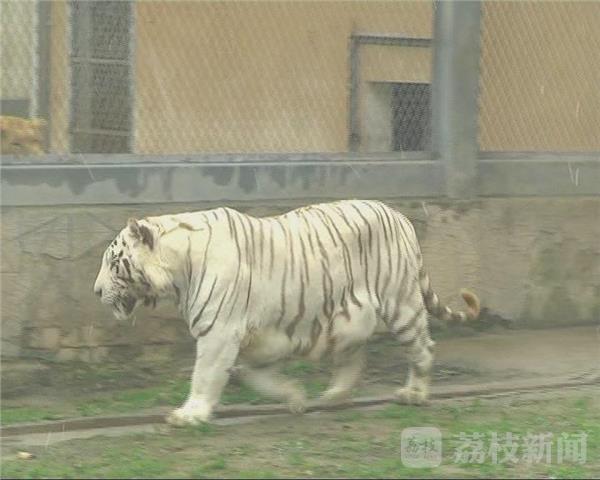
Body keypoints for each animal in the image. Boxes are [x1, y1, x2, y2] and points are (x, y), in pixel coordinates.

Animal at [92, 201, 478, 426]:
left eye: (113, 262)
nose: (95, 291)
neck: (178, 270)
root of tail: (400, 216)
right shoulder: (252, 338)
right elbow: (255, 377)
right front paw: (295, 397)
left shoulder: (219, 333)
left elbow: (204, 375)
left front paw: (189, 415)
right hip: (349, 320)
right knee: (355, 359)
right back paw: (332, 397)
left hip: (401, 303)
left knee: (423, 349)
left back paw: (414, 394)